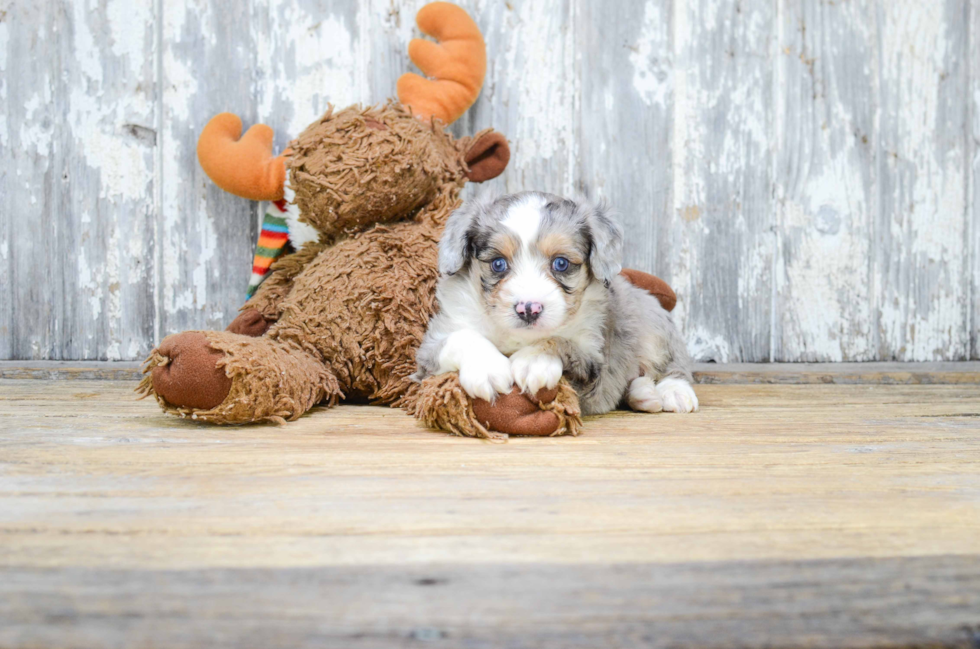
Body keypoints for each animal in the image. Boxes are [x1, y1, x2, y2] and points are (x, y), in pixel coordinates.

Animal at [414, 192, 696, 416]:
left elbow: (559, 341)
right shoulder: (430, 349)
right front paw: (487, 368)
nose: (528, 309)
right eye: (498, 264)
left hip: (654, 324)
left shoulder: (592, 360)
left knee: (674, 364)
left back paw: (674, 392)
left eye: (561, 263)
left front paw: (534, 360)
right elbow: (463, 337)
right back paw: (643, 394)